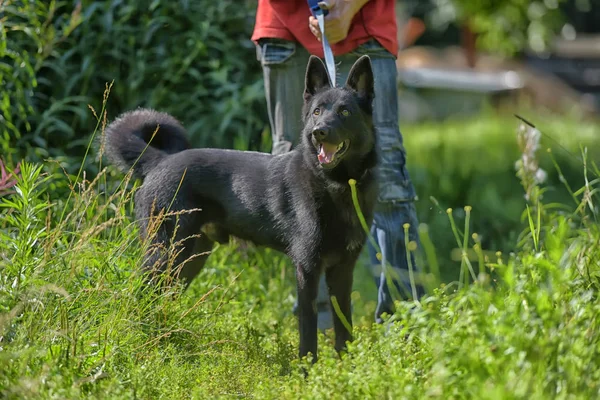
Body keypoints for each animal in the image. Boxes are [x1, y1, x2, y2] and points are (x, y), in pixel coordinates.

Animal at [103, 54, 376, 360]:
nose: (320, 132)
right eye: (317, 112)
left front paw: (346, 365)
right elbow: (308, 329)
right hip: (165, 252)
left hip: (189, 258)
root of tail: (159, 161)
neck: (336, 185)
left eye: (344, 112)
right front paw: (307, 368)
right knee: (140, 291)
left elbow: (344, 326)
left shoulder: (342, 270)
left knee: (163, 296)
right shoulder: (307, 269)